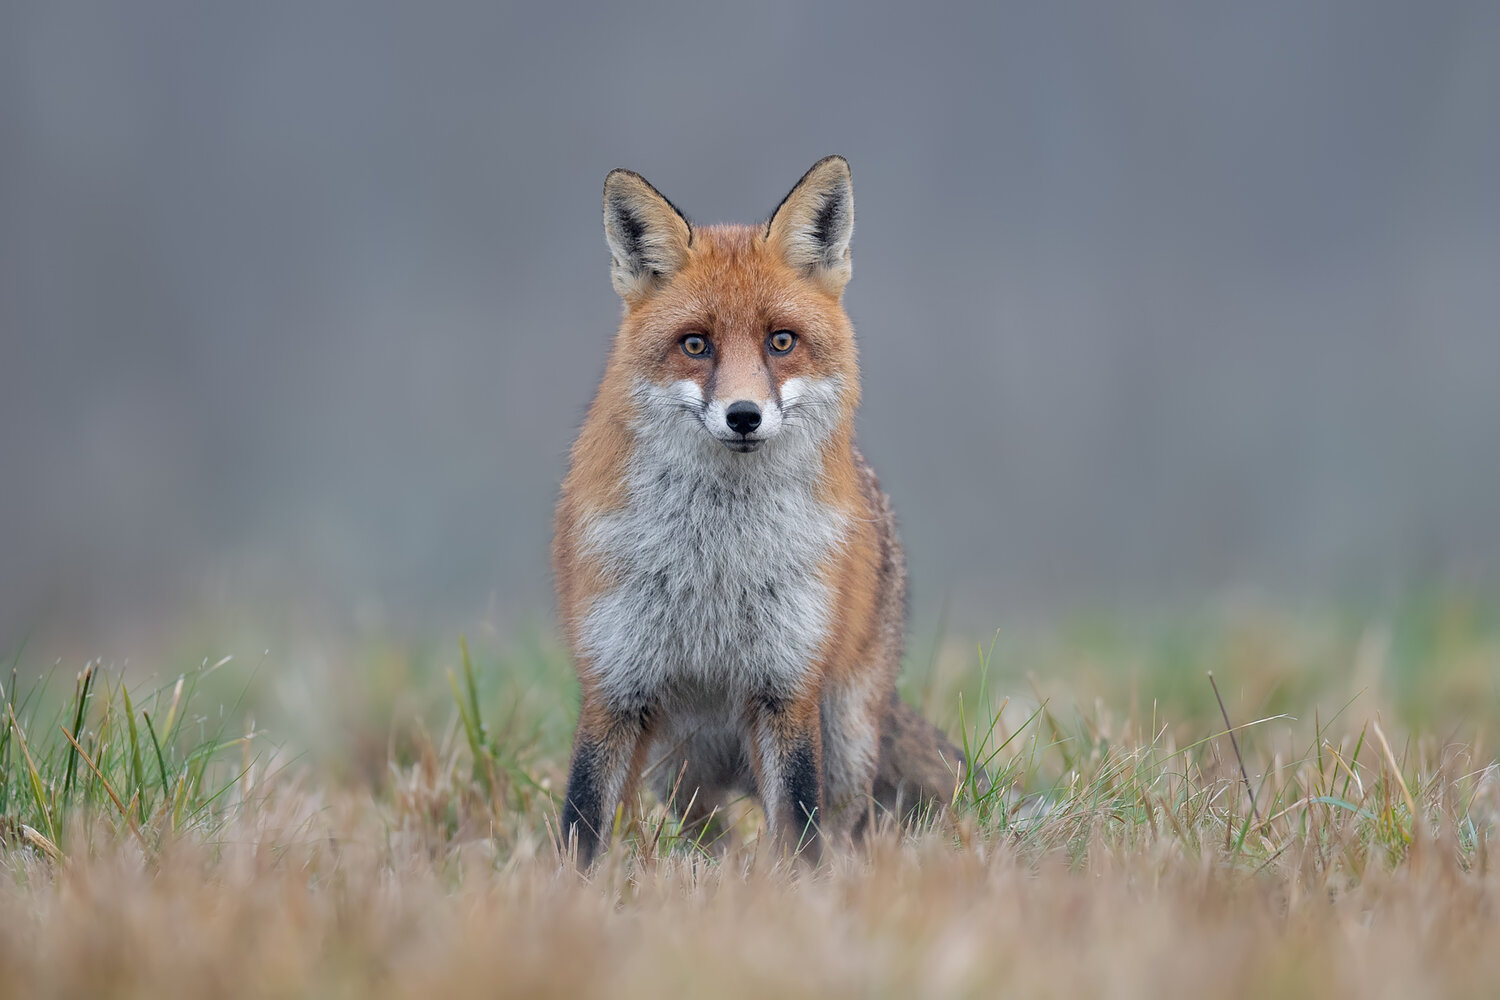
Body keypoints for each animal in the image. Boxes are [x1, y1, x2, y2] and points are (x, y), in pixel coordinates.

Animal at [553, 155, 965, 867]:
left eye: (781, 341)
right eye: (695, 345)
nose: (743, 416)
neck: (715, 563)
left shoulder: (785, 685)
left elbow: (798, 824)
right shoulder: (615, 681)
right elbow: (583, 817)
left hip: (847, 737)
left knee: (841, 822)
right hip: (674, 766)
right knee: (707, 833)